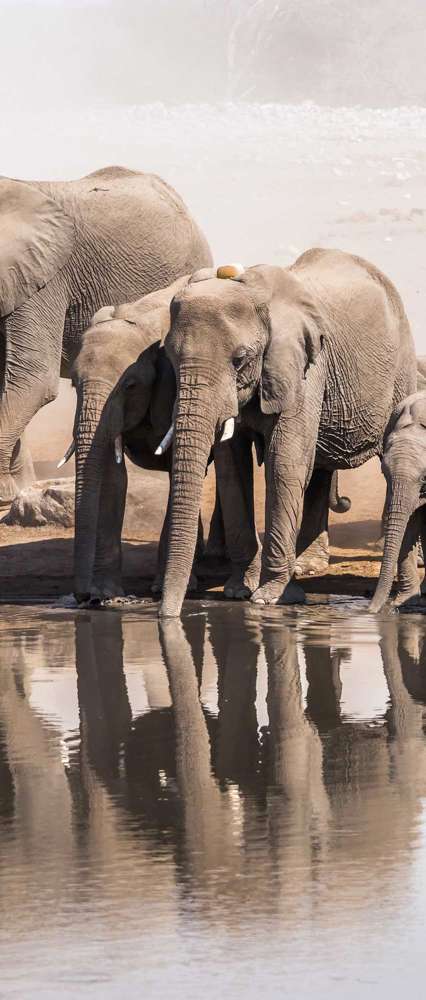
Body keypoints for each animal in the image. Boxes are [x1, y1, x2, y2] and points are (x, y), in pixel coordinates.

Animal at [158, 248, 414, 616]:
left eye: (240, 359)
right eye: (170, 357)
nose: (166, 615)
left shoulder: (305, 366)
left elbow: (284, 463)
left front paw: (270, 598)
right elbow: (232, 469)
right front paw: (238, 590)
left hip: (400, 369)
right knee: (320, 464)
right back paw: (307, 566)